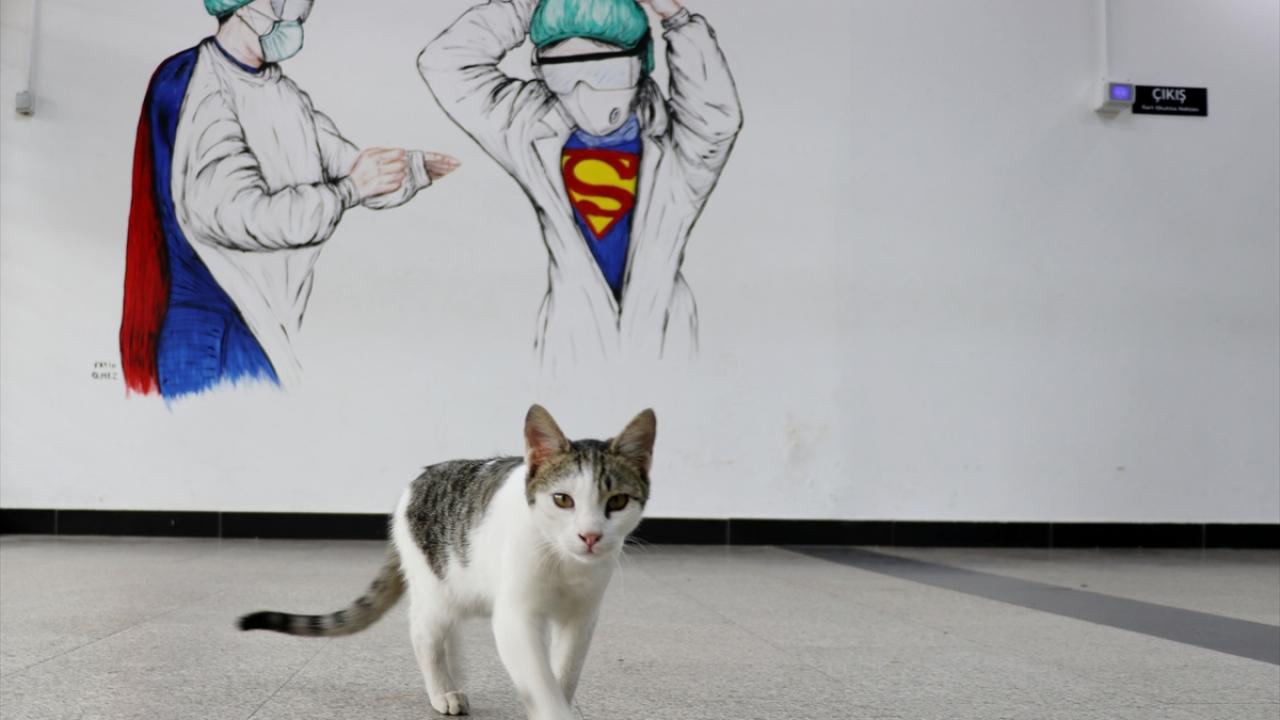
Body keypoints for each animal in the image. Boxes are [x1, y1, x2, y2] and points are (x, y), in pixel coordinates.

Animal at [237, 405, 656, 720]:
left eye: (617, 501)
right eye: (563, 500)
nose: (590, 536)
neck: (564, 564)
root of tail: (414, 483)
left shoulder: (581, 617)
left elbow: (564, 672)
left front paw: (560, 698)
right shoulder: (516, 617)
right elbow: (538, 677)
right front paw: (549, 707)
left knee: (447, 630)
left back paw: (455, 673)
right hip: (434, 583)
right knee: (424, 633)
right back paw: (443, 691)